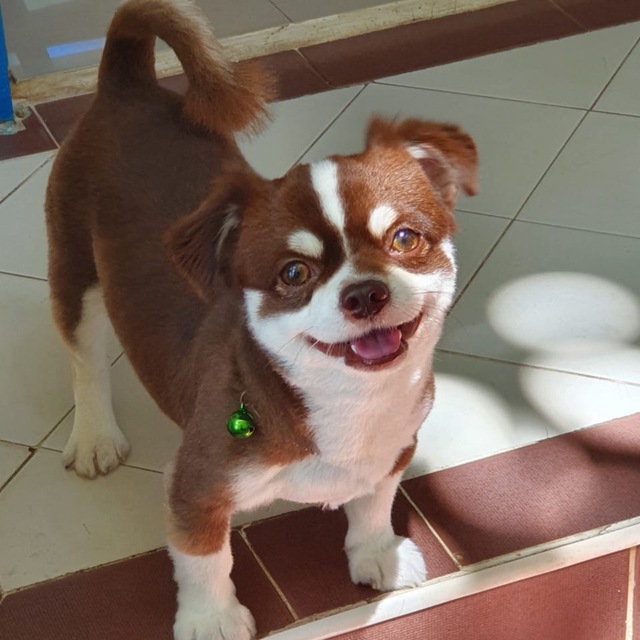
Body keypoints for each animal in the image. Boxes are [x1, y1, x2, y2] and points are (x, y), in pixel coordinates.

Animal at [45, 0, 478, 637]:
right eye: (293, 273)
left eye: (404, 238)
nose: (364, 294)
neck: (346, 403)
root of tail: (128, 85)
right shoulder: (196, 487)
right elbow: (205, 557)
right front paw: (211, 618)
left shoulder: (396, 447)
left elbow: (374, 502)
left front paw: (377, 552)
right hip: (73, 265)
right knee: (84, 357)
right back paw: (95, 435)